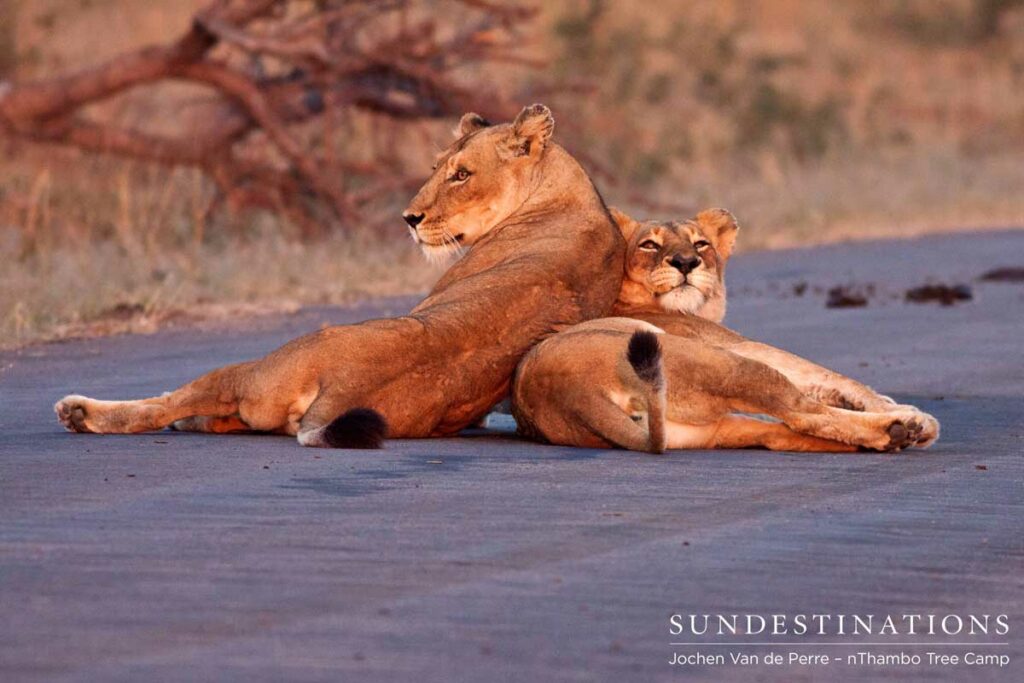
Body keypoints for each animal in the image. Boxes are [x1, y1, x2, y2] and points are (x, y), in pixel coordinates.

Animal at [54, 104, 625, 447]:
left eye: (461, 174)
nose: (409, 218)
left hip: (256, 368)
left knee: (167, 404)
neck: (567, 194)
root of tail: (345, 390)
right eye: (436, 168)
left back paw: (81, 412)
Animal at [510, 209, 940, 453]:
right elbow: (834, 379)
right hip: (723, 364)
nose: (686, 262)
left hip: (715, 427)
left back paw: (893, 436)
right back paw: (899, 429)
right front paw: (907, 412)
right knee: (802, 412)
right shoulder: (746, 347)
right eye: (649, 245)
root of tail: (567, 393)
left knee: (783, 432)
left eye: (701, 243)